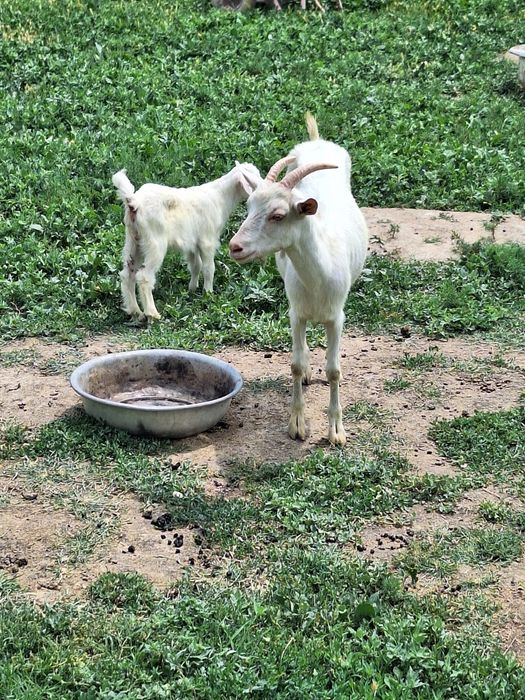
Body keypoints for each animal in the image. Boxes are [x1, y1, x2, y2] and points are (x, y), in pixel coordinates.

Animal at [112, 162, 261, 321]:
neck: (221, 197)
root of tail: (134, 202)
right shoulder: (207, 241)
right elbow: (209, 268)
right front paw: (208, 294)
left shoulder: (192, 244)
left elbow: (196, 265)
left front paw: (192, 289)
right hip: (154, 243)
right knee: (144, 277)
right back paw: (152, 313)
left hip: (134, 241)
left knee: (128, 274)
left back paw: (135, 311)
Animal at [228, 113, 368, 445]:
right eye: (249, 207)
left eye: (278, 215)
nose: (235, 246)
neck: (318, 275)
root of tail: (316, 141)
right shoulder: (296, 313)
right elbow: (294, 364)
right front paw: (297, 425)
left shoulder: (337, 317)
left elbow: (334, 371)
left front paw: (336, 432)